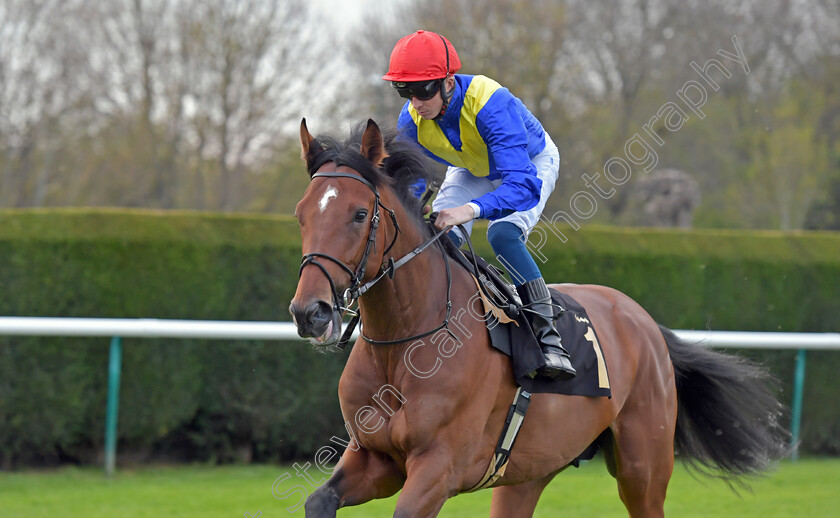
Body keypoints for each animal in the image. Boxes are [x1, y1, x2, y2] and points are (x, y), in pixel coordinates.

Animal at [288, 120, 788, 516]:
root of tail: (644, 322)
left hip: (643, 466)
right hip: (530, 470)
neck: (405, 342)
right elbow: (318, 499)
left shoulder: (438, 467)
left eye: (359, 214)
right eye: (300, 214)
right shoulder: (374, 458)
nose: (310, 312)